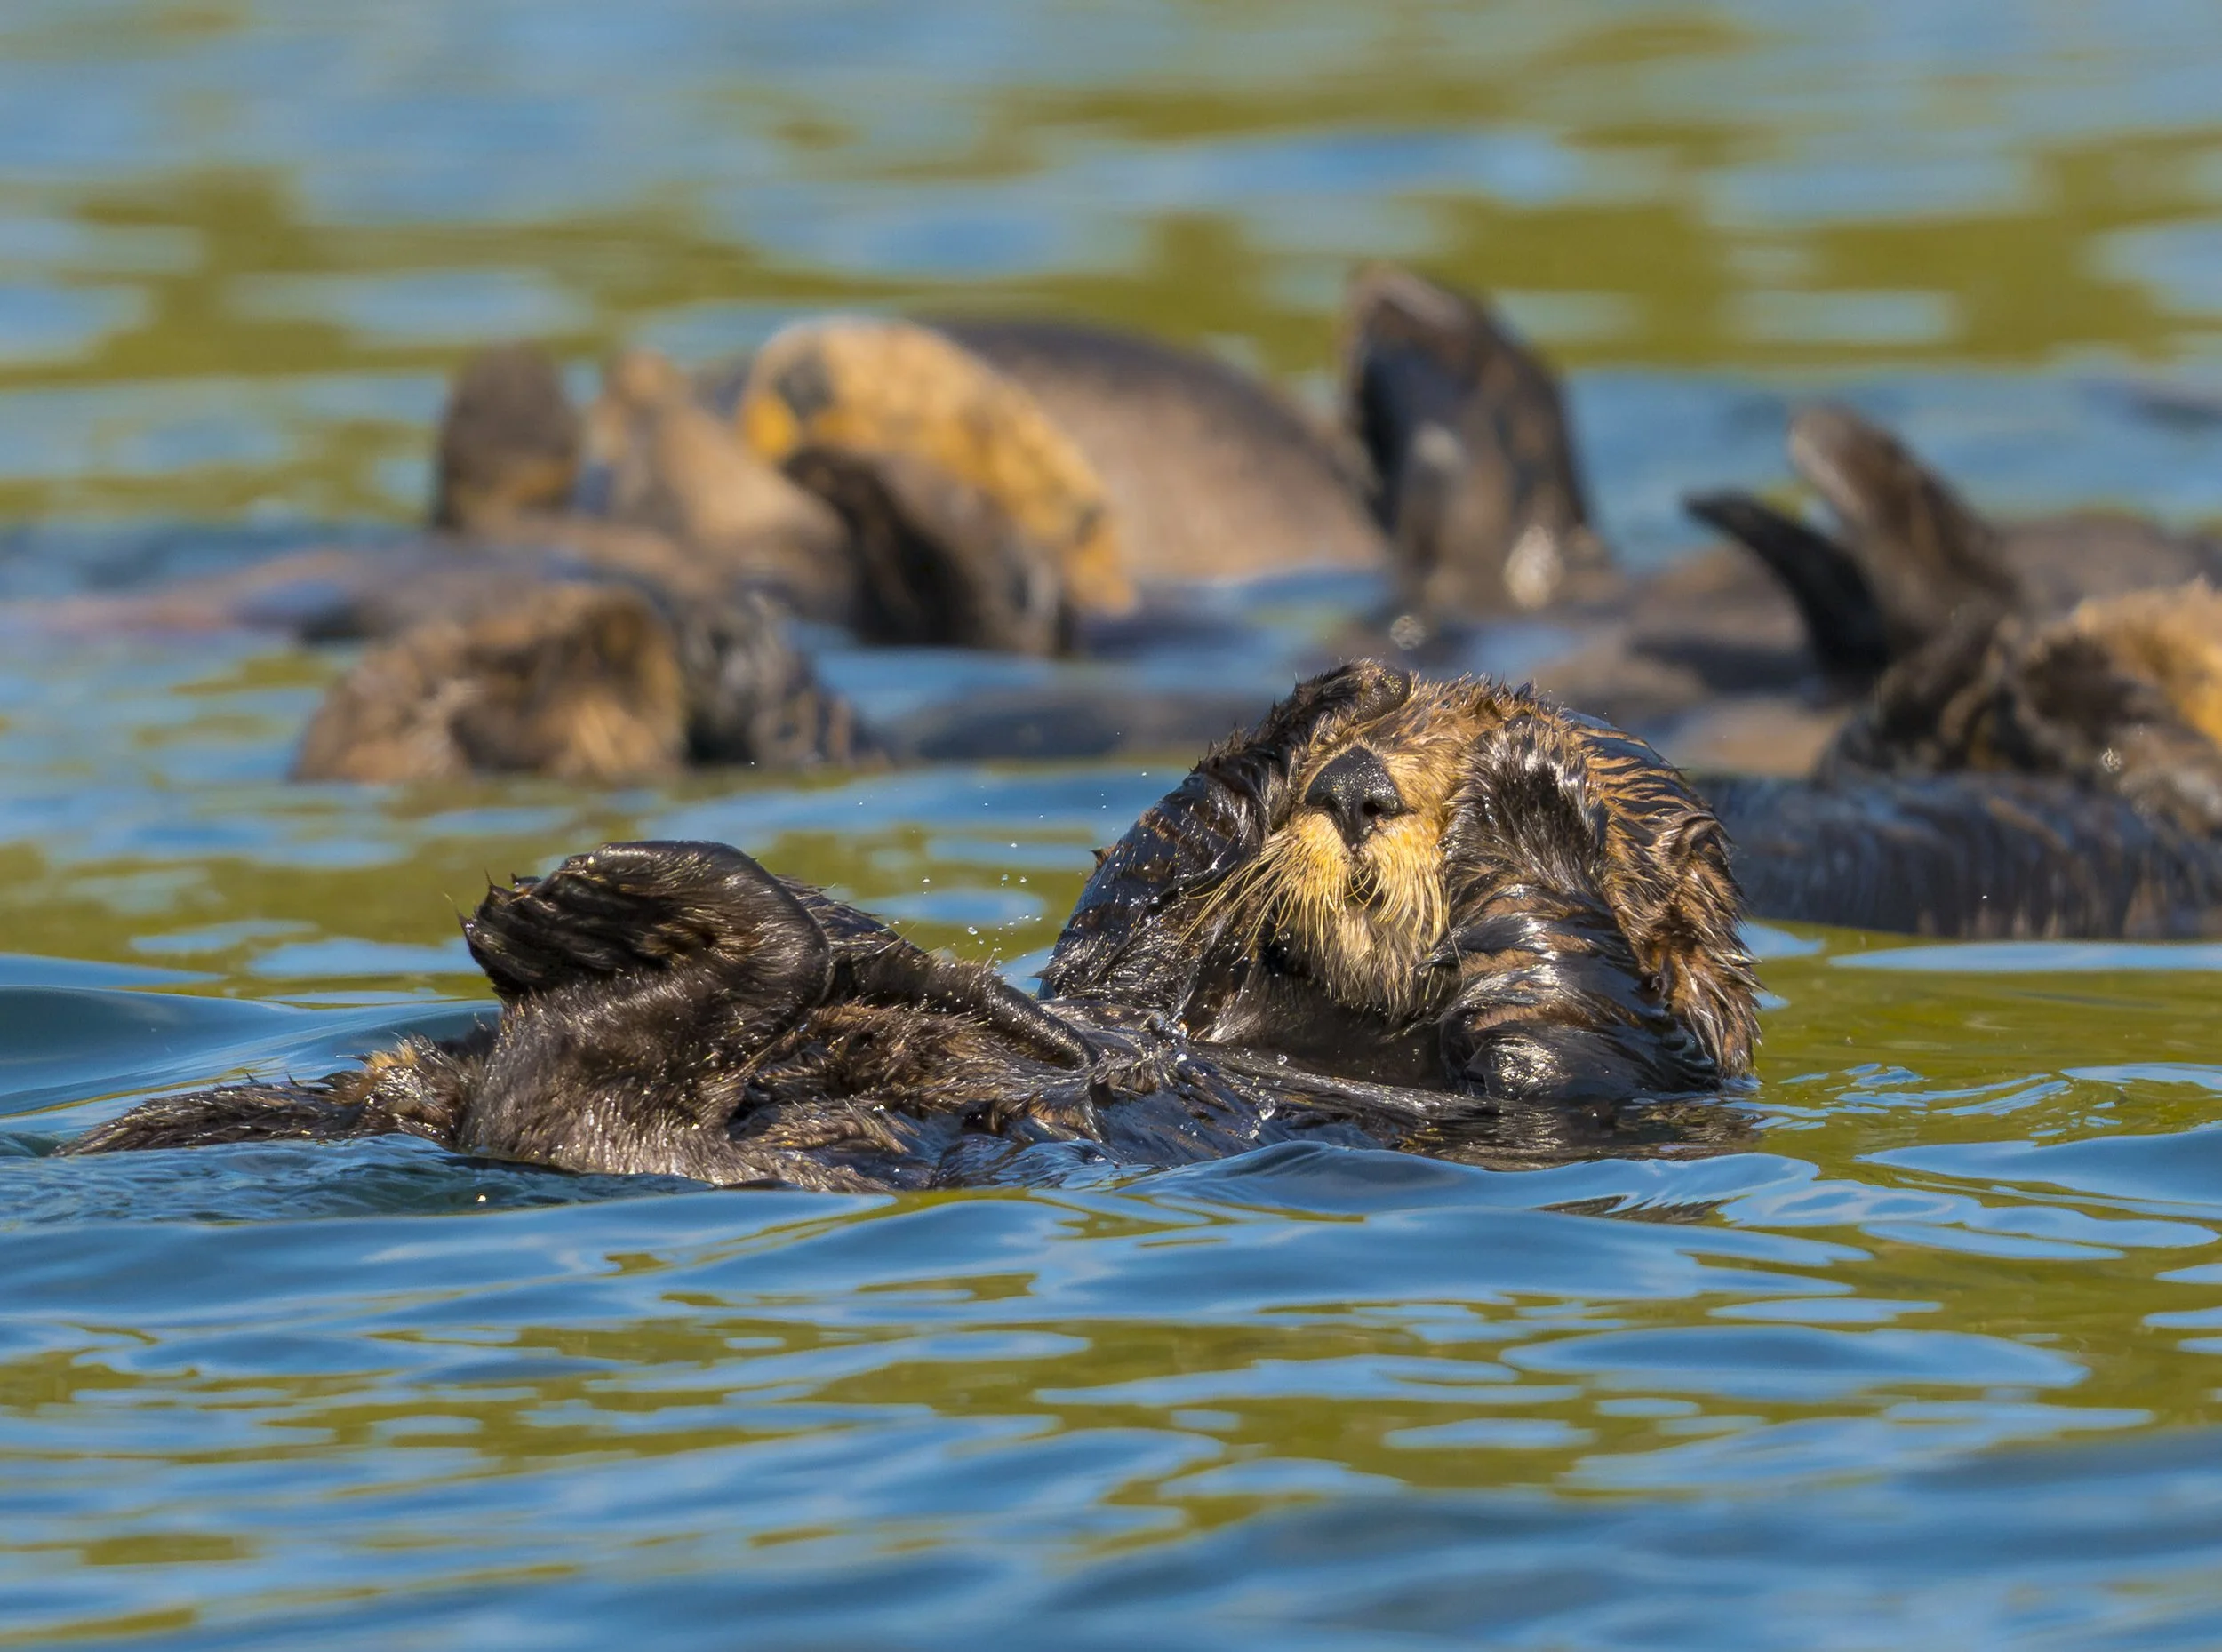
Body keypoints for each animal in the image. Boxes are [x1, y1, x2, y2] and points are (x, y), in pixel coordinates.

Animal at [64, 665, 1759, 1187]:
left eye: (1449, 778)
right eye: (1384, 743)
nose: (1357, 787)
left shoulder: (1605, 1086)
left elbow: (1560, 1027)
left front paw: (1536, 798)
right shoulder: (1147, 976)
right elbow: (1127, 923)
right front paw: (1317, 699)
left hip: (718, 1136)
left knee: (598, 1088)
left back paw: (612, 905)